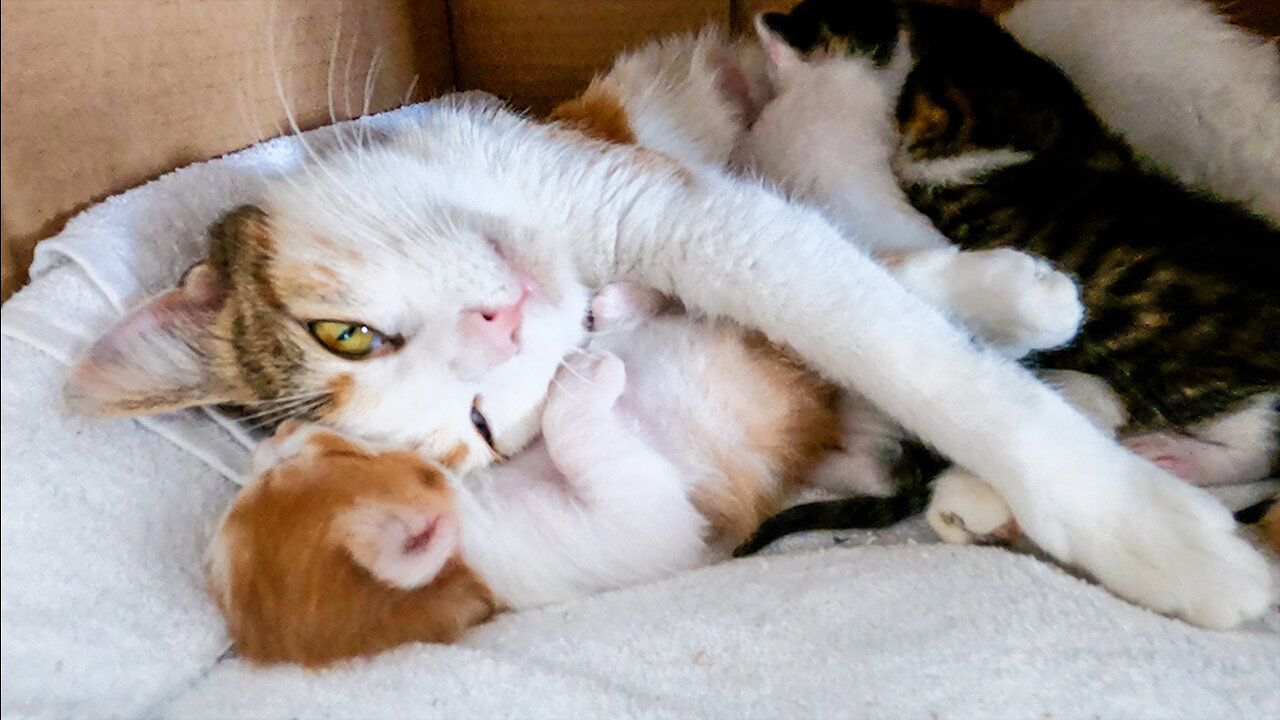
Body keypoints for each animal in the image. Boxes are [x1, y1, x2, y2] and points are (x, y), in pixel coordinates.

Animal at [67, 90, 1269, 627]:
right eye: (486, 430)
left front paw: (1138, 528)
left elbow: (873, 314)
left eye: (346, 335)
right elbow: (841, 289)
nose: (504, 320)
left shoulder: (648, 193)